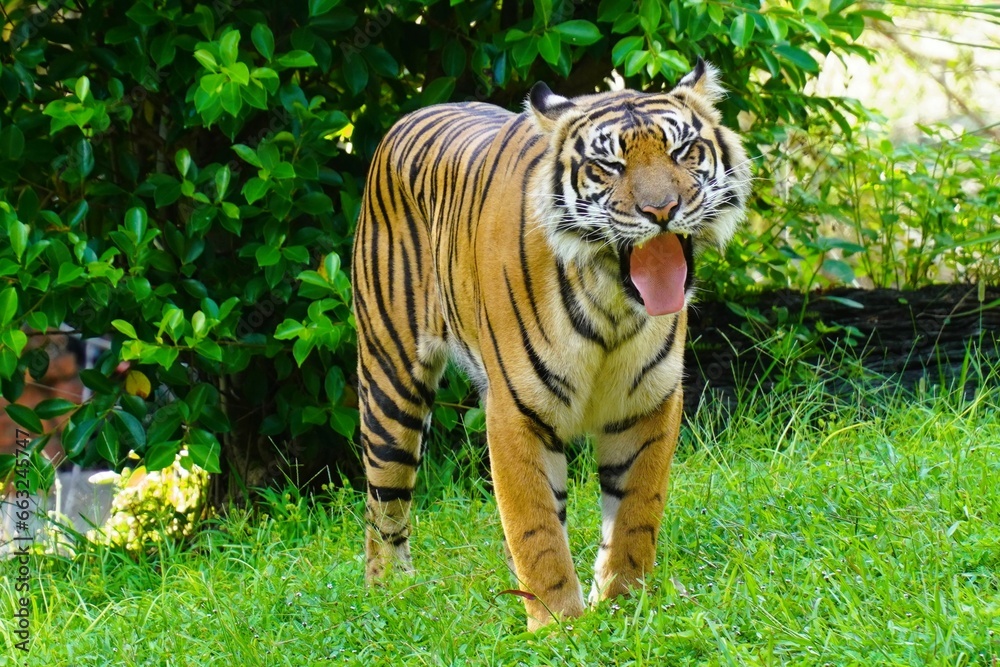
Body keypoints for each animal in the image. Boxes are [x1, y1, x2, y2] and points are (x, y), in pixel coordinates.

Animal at [351, 59, 751, 631]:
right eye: (608, 166)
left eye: (682, 152)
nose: (662, 210)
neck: (612, 306)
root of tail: (413, 113)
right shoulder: (516, 412)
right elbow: (536, 527)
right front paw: (557, 627)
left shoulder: (647, 404)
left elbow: (635, 515)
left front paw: (622, 606)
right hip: (391, 383)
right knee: (383, 504)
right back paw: (391, 595)